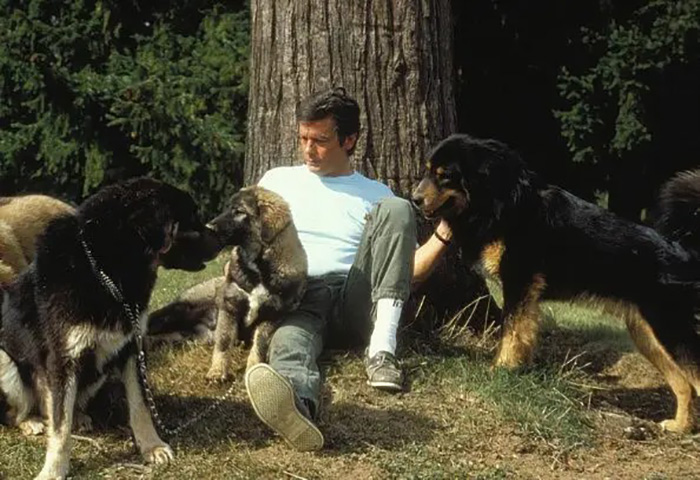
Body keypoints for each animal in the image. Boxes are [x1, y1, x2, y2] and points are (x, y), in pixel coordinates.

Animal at [0, 179, 221, 480]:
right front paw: (54, 470)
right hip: (5, 361)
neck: (108, 272)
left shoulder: (133, 348)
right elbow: (60, 427)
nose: (222, 238)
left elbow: (140, 406)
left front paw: (151, 446)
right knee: (20, 413)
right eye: (192, 217)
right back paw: (32, 422)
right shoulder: (63, 359)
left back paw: (78, 417)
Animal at [148, 186, 306, 380]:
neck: (258, 267)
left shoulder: (271, 315)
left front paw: (253, 368)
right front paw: (217, 371)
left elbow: (259, 345)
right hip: (177, 310)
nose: (209, 227)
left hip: (187, 336)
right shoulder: (229, 305)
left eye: (238, 211)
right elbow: (223, 341)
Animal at [410, 133, 700, 434]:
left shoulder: (519, 282)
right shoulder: (525, 293)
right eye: (428, 172)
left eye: (445, 175)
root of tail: (683, 250)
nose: (414, 199)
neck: (498, 201)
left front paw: (501, 370)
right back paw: (680, 426)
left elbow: (511, 333)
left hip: (670, 328)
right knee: (684, 384)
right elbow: (521, 334)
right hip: (648, 334)